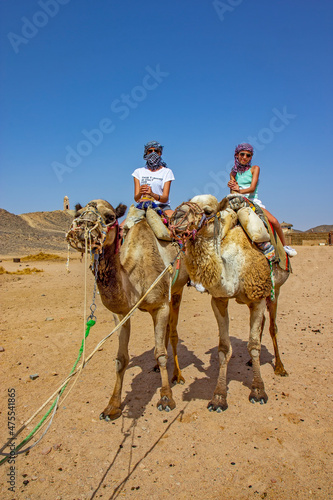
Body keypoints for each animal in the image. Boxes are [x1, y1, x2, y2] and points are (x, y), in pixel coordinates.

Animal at [66, 201, 188, 420]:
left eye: (110, 217)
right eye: (78, 213)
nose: (83, 228)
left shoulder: (160, 305)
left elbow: (161, 353)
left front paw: (166, 398)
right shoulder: (121, 314)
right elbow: (121, 359)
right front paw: (112, 406)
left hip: (176, 290)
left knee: (173, 333)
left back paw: (177, 375)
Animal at [170, 193, 290, 412]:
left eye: (208, 211)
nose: (176, 218)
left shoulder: (258, 298)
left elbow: (254, 345)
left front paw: (258, 391)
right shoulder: (219, 300)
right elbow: (224, 349)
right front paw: (218, 397)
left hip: (274, 290)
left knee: (272, 327)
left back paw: (280, 367)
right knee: (261, 327)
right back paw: (252, 363)